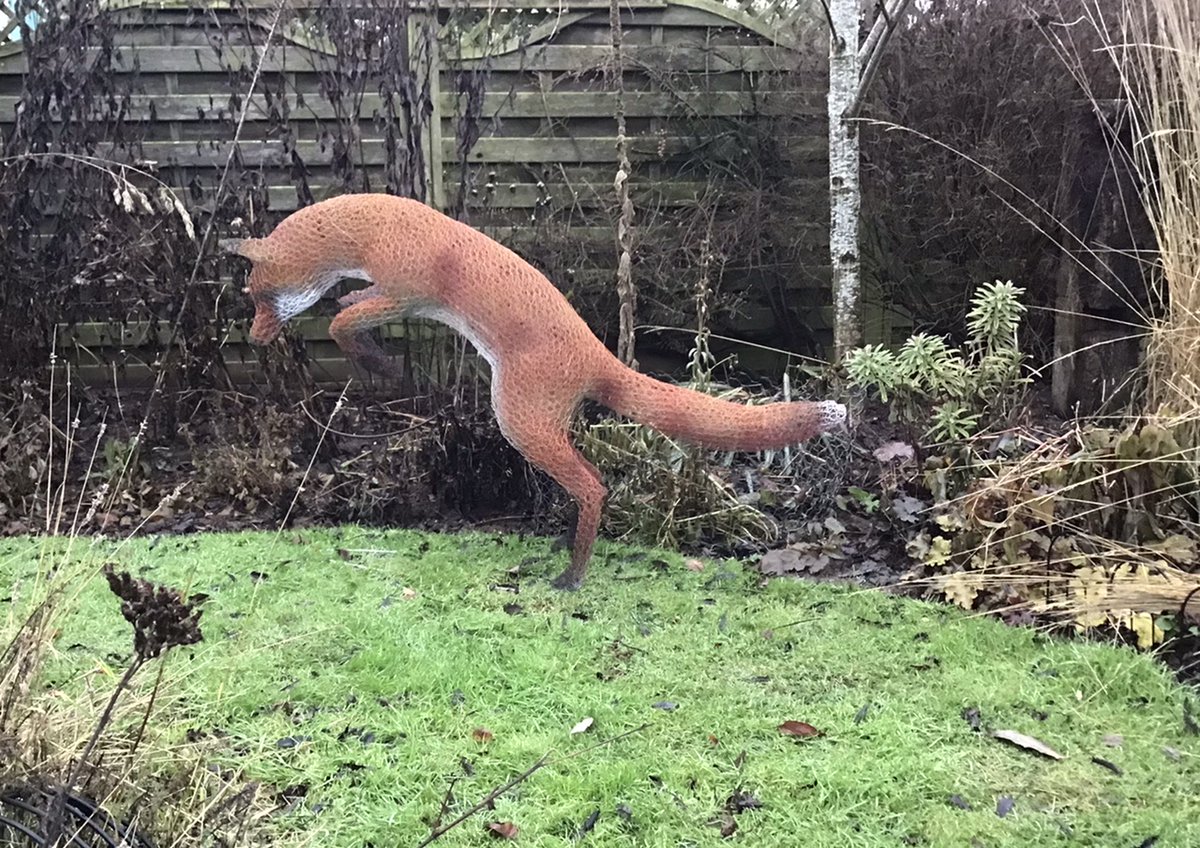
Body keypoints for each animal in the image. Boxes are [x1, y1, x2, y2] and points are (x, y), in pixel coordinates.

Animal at [226, 193, 847, 589]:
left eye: (256, 297)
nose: (253, 339)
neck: (376, 224)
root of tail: (596, 354)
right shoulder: (386, 294)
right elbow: (348, 307)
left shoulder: (404, 293)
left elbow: (340, 324)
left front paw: (379, 364)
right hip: (545, 425)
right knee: (587, 484)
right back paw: (567, 549)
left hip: (518, 421)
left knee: (594, 486)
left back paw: (573, 574)